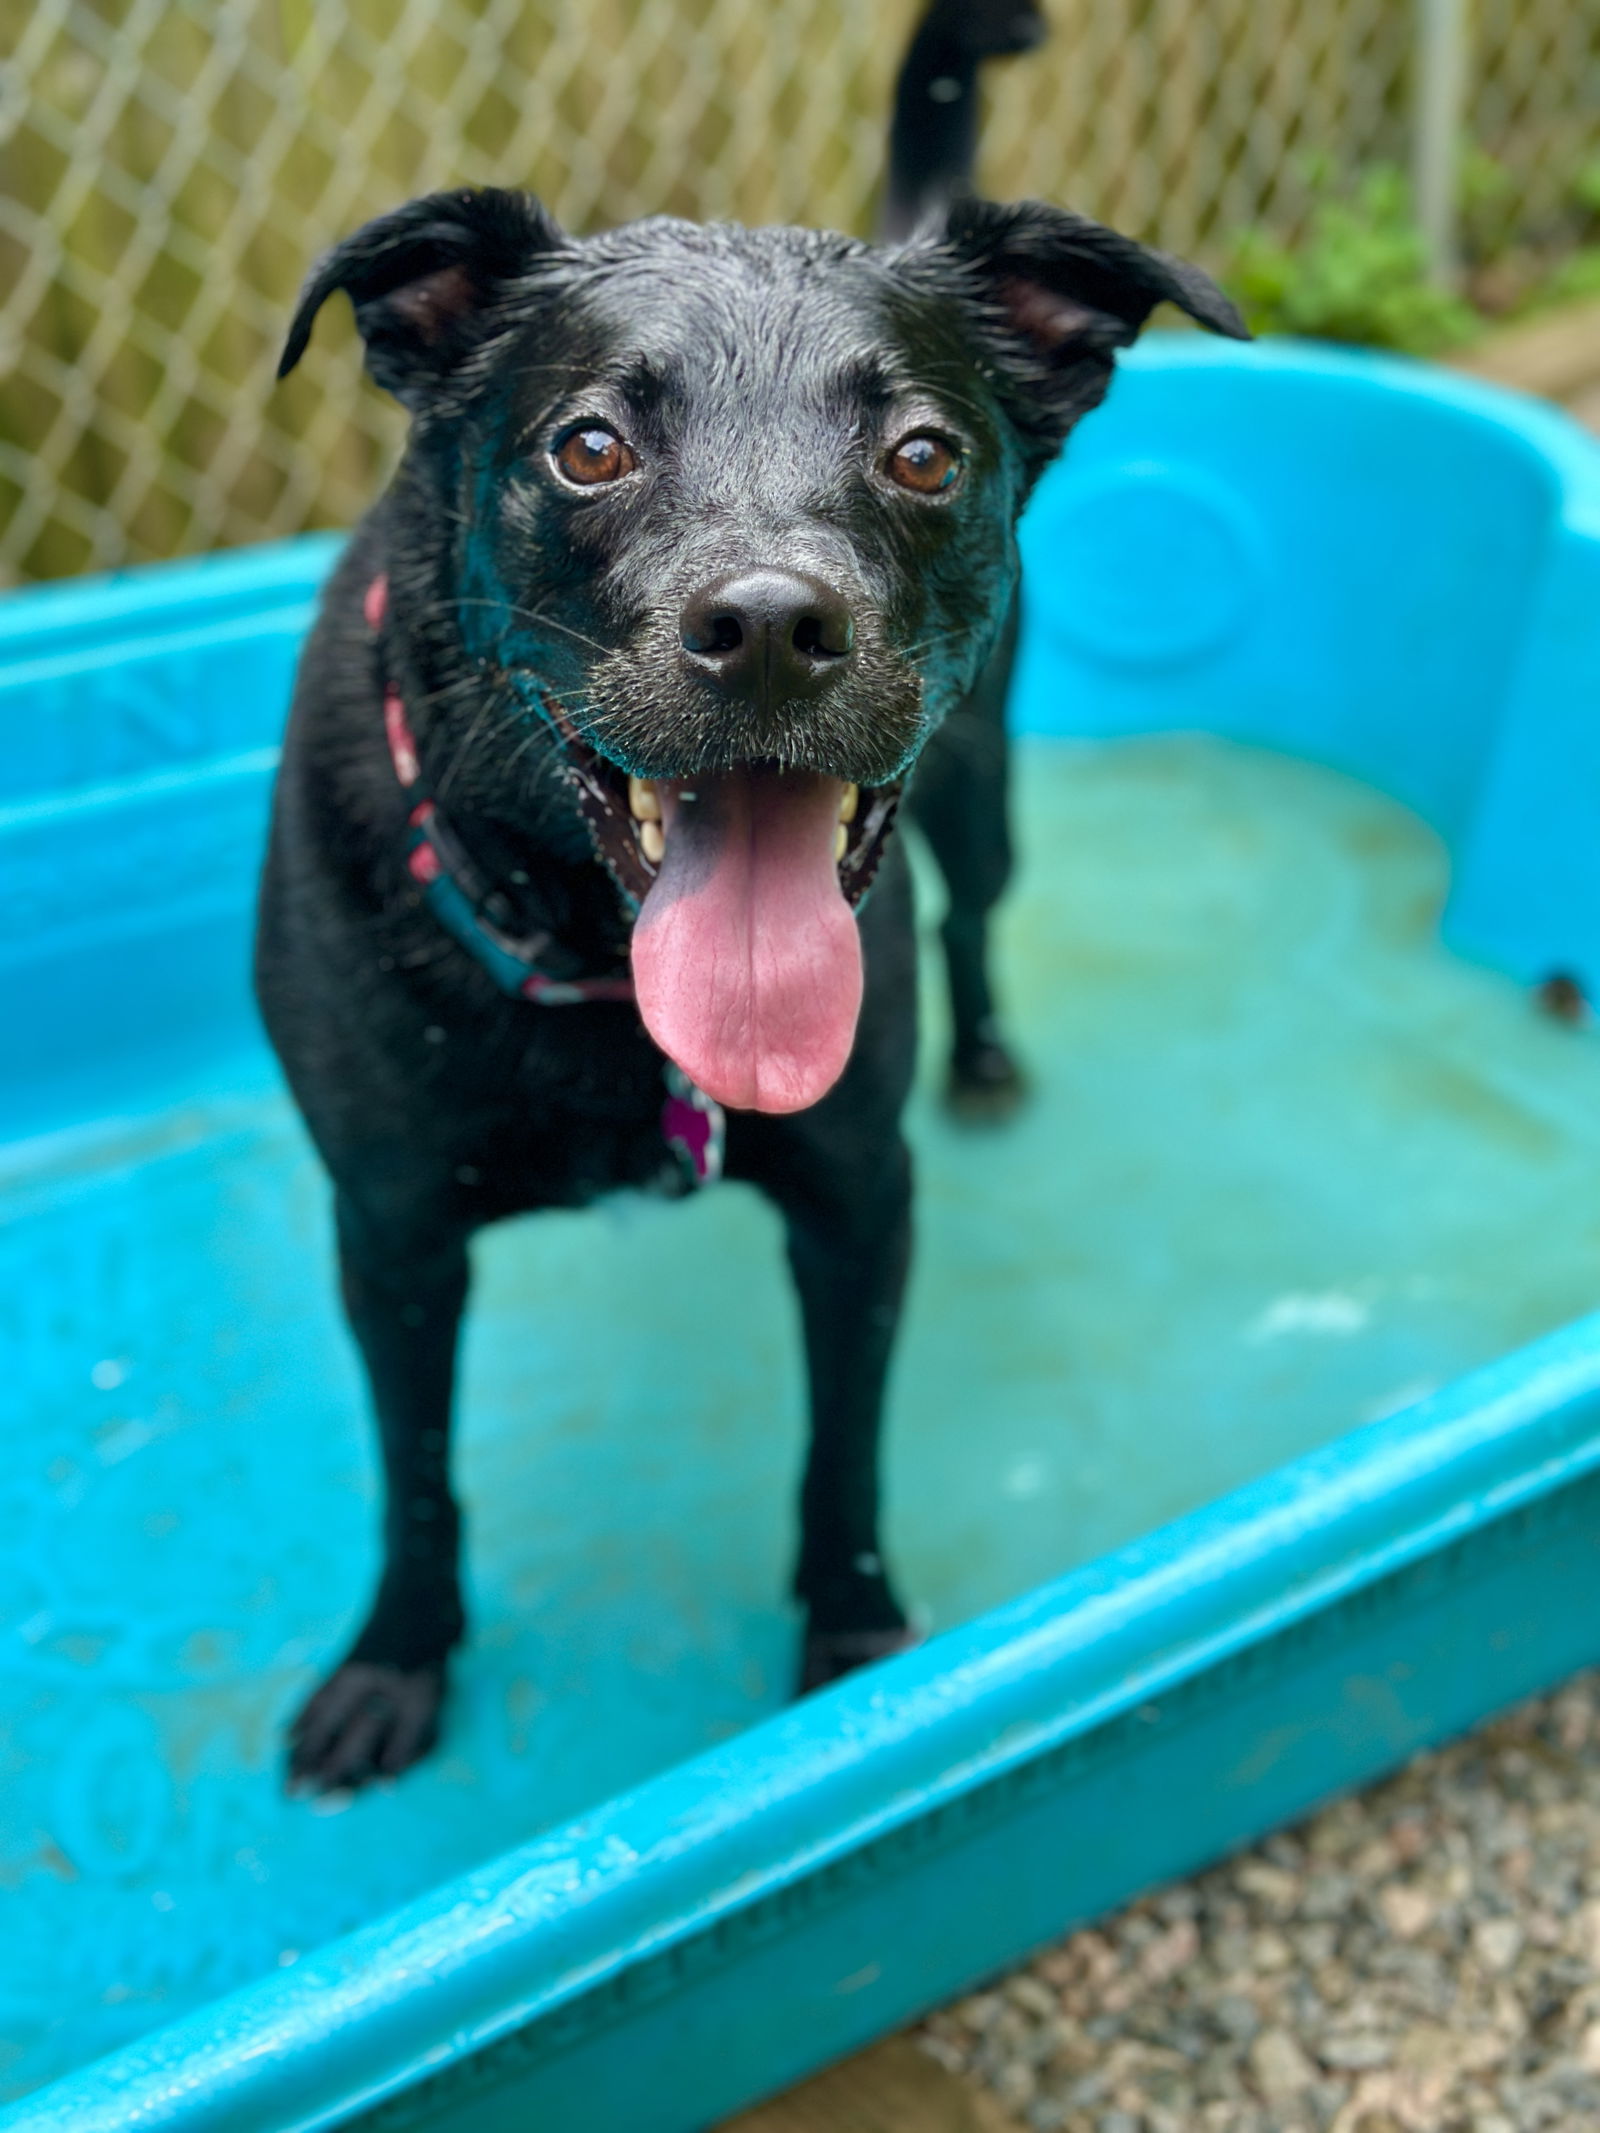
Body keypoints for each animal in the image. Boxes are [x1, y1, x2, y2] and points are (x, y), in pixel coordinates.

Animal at [257, 0, 1245, 1791]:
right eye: (590, 444)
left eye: (922, 453)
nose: (776, 626)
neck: (592, 960)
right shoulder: (390, 1227)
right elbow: (417, 1472)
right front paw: (396, 1660)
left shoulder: (860, 1194)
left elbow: (841, 1447)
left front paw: (851, 1646)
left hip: (983, 794)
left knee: (977, 915)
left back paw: (987, 1058)